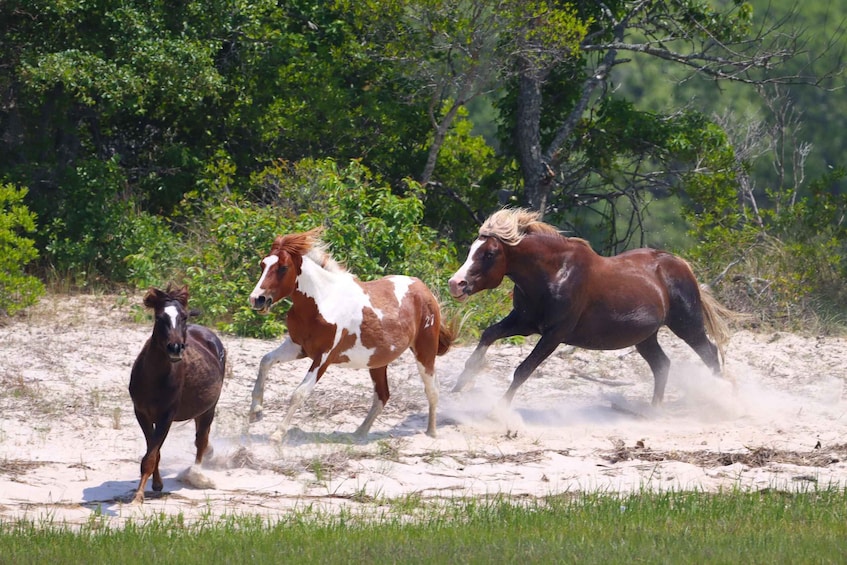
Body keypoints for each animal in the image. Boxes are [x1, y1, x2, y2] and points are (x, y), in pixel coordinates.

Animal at [128, 285, 226, 504]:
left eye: (183, 317)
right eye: (159, 318)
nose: (175, 348)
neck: (154, 379)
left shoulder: (166, 416)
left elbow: (151, 455)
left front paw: (138, 496)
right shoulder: (142, 414)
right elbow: (154, 451)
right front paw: (156, 485)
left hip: (209, 409)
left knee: (201, 441)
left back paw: (196, 474)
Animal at [248, 227, 454, 439]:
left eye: (283, 267)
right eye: (263, 264)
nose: (257, 299)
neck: (322, 302)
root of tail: (425, 289)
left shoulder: (324, 357)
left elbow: (300, 393)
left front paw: (277, 434)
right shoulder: (298, 346)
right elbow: (266, 361)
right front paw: (256, 411)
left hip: (424, 353)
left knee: (432, 390)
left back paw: (431, 432)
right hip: (378, 362)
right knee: (382, 395)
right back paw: (358, 434)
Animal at [447, 208, 734, 410]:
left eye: (489, 254)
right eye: (472, 249)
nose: (456, 284)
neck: (553, 274)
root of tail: (680, 264)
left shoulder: (554, 334)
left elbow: (522, 370)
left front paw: (499, 410)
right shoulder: (524, 322)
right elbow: (488, 335)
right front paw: (461, 383)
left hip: (687, 324)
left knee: (709, 353)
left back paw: (720, 399)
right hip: (645, 337)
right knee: (662, 364)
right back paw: (653, 410)